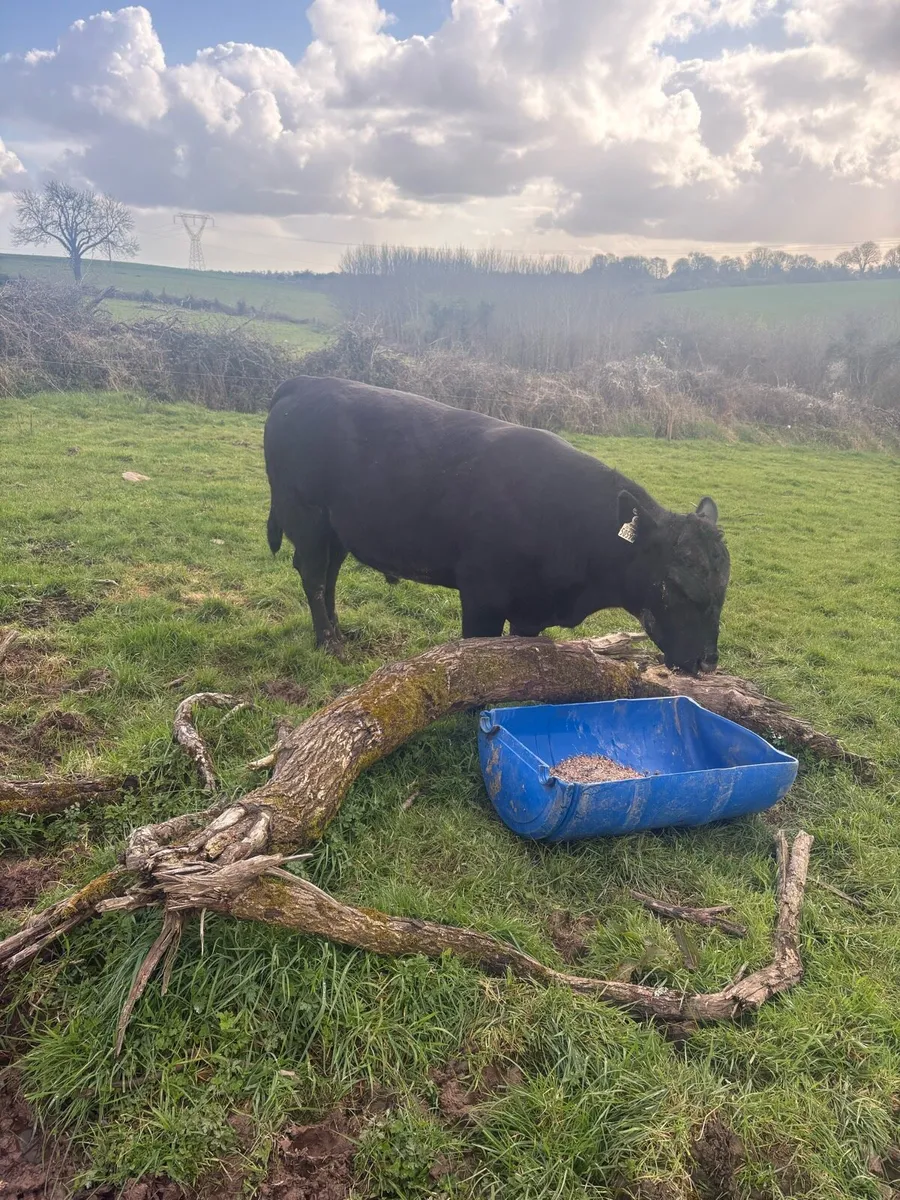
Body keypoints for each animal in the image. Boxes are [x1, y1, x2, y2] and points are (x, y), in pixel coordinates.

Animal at [264, 376, 730, 674]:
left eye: (723, 589)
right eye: (676, 585)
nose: (707, 663)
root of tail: (306, 382)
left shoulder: (531, 611)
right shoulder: (481, 596)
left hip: (338, 529)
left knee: (330, 575)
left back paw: (338, 631)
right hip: (306, 516)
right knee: (313, 576)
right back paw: (329, 642)